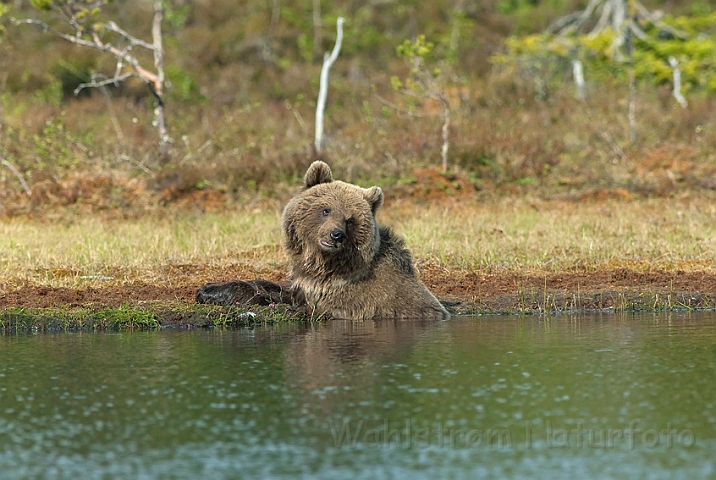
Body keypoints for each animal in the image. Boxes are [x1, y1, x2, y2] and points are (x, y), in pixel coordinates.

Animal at [196, 159, 450, 320]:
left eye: (350, 220)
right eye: (326, 210)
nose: (336, 234)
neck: (324, 265)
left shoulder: (346, 295)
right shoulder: (307, 284)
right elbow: (277, 288)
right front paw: (209, 289)